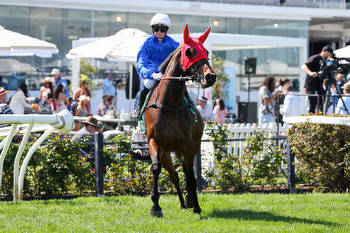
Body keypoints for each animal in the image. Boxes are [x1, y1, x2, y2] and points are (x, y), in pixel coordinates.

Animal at [143, 24, 215, 217]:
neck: (170, 105)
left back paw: (189, 200)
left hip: (190, 147)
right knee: (174, 175)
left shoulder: (189, 146)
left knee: (186, 172)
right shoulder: (155, 141)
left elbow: (190, 175)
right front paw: (155, 206)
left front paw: (196, 206)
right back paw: (183, 203)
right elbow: (156, 168)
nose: (210, 76)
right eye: (190, 51)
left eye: (206, 51)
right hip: (167, 152)